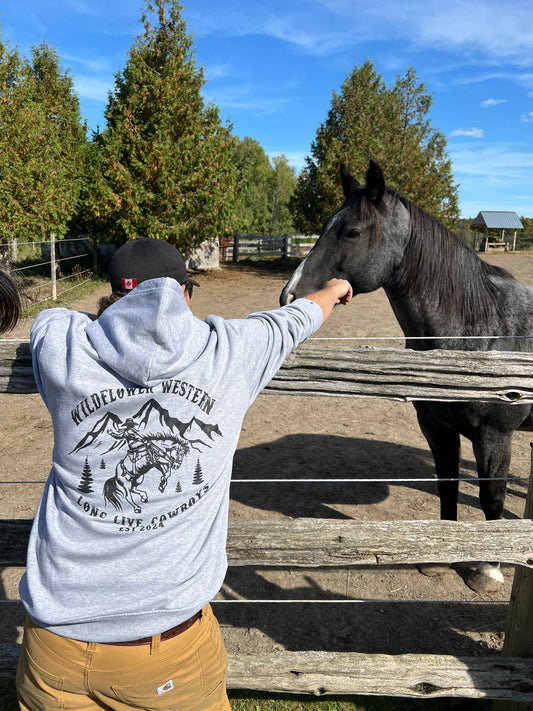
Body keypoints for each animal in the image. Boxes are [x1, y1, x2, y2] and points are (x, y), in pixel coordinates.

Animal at [278, 161, 532, 596]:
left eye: (352, 231)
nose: (290, 296)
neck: (481, 329)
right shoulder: (437, 427)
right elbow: (447, 486)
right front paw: (439, 557)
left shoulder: (496, 437)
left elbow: (492, 498)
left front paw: (488, 569)